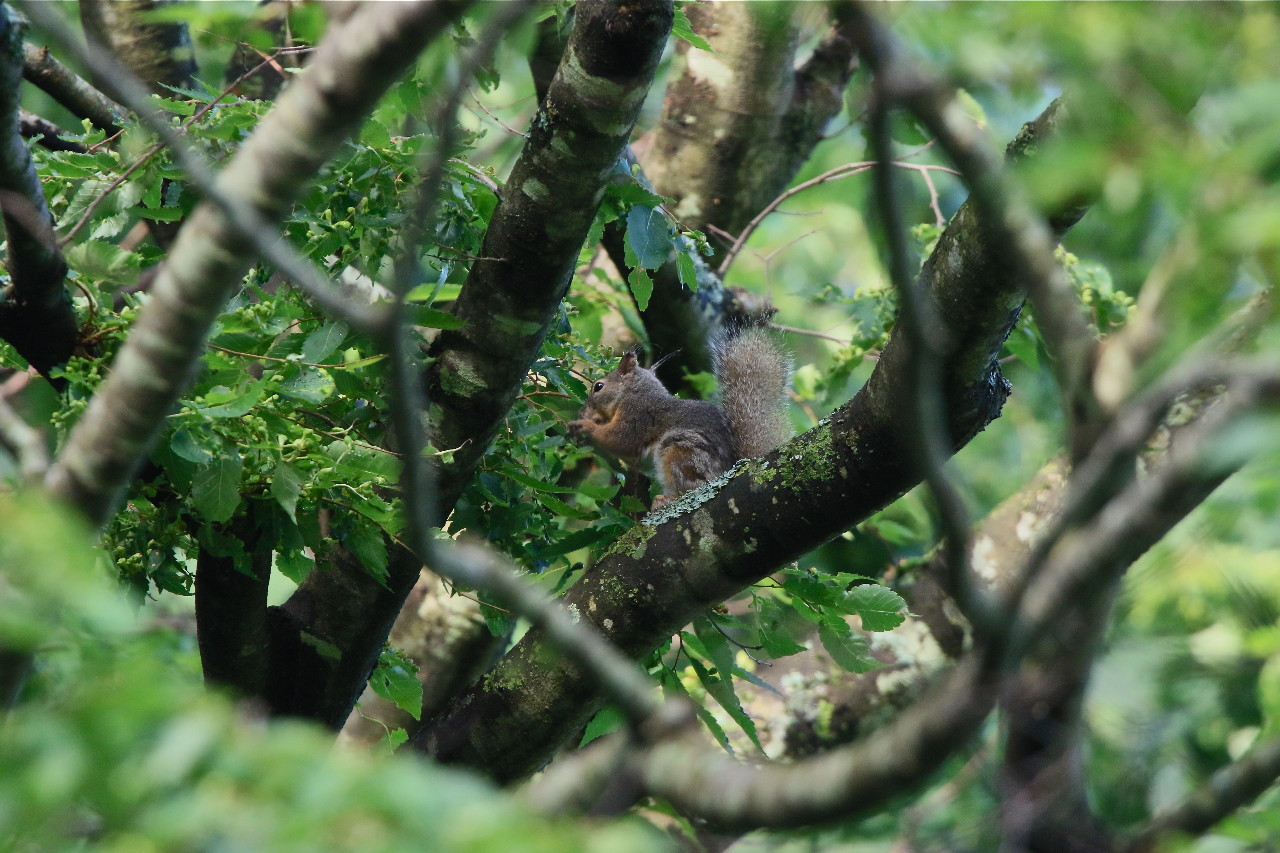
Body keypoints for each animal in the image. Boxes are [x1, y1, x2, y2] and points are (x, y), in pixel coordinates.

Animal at [570, 325, 788, 507]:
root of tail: (727, 472)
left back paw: (668, 499)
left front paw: (586, 425)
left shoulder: (638, 414)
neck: (634, 392)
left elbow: (622, 440)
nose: (583, 411)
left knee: (691, 487)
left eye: (599, 386)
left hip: (682, 451)